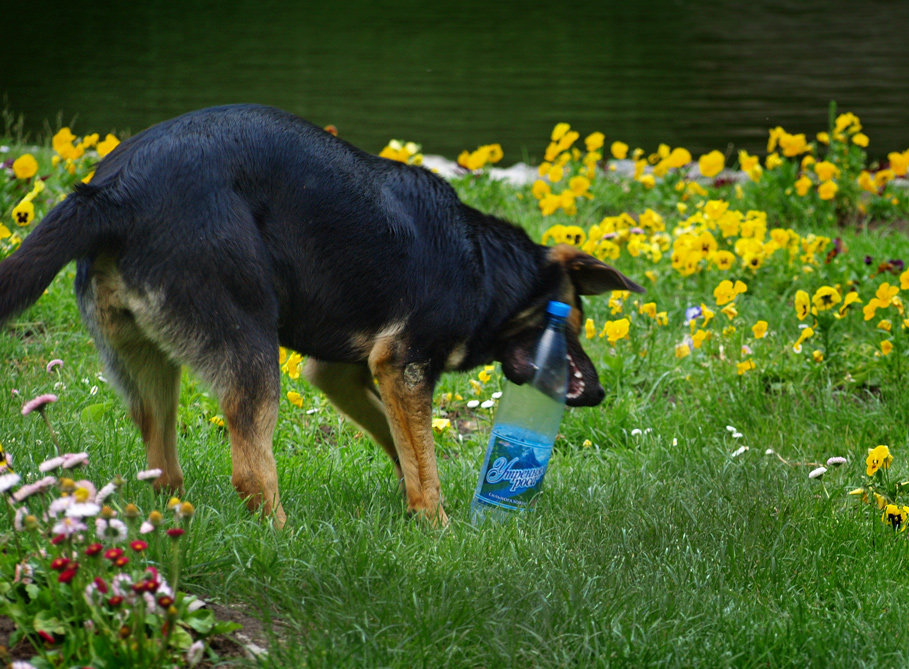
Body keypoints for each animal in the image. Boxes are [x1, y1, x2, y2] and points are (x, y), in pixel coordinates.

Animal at [0, 104, 640, 524]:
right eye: (575, 320)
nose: (600, 393)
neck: (486, 267)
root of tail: (114, 192)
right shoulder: (403, 365)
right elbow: (425, 465)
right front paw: (438, 528)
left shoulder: (344, 373)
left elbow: (403, 447)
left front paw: (415, 507)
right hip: (250, 345)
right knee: (250, 472)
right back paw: (281, 541)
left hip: (148, 366)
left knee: (164, 468)